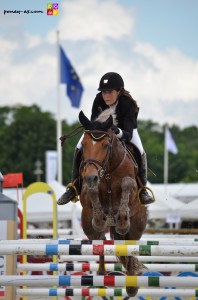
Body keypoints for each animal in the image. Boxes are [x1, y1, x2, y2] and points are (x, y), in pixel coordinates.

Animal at [77, 110, 147, 298]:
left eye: (106, 145)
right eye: (84, 145)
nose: (91, 177)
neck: (107, 171)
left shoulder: (130, 186)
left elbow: (127, 184)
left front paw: (122, 220)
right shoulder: (87, 190)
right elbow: (92, 192)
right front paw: (99, 219)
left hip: (136, 227)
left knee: (129, 249)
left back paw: (131, 285)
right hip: (88, 227)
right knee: (101, 242)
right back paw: (102, 274)